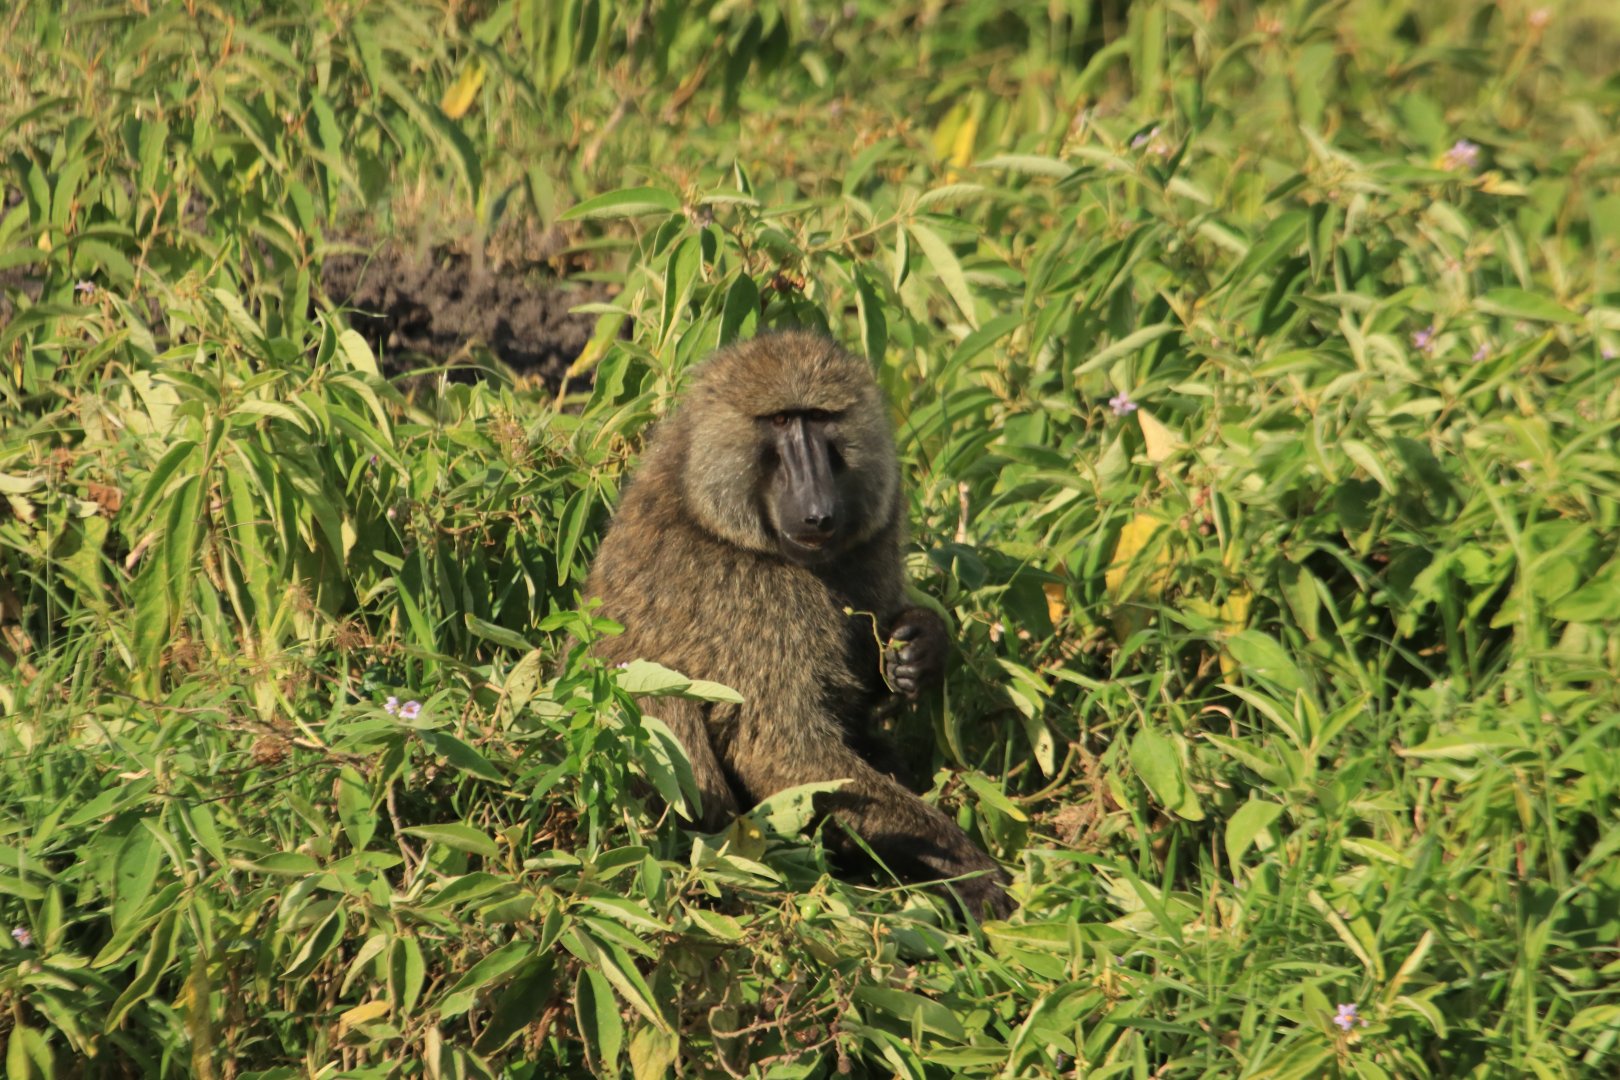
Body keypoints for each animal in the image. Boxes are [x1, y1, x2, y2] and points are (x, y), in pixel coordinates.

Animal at [583, 330, 1012, 919]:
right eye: (781, 420)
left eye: (822, 418)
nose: (817, 513)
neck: (705, 506)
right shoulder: (757, 602)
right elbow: (787, 756)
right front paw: (972, 871)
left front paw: (919, 646)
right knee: (656, 707)